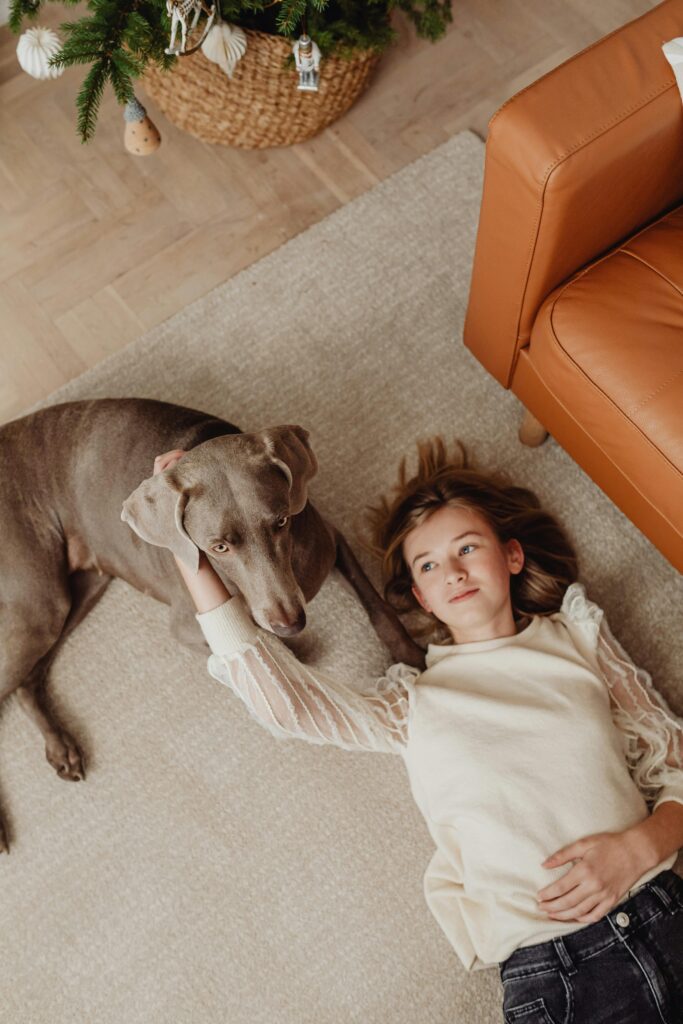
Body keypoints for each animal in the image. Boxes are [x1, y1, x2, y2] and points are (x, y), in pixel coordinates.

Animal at [0, 395, 423, 851]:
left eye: (280, 522)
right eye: (218, 546)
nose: (291, 622)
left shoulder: (331, 539)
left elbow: (377, 605)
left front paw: (411, 654)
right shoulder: (188, 627)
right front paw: (291, 650)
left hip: (76, 591)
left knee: (27, 681)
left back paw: (60, 747)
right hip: (40, 602)